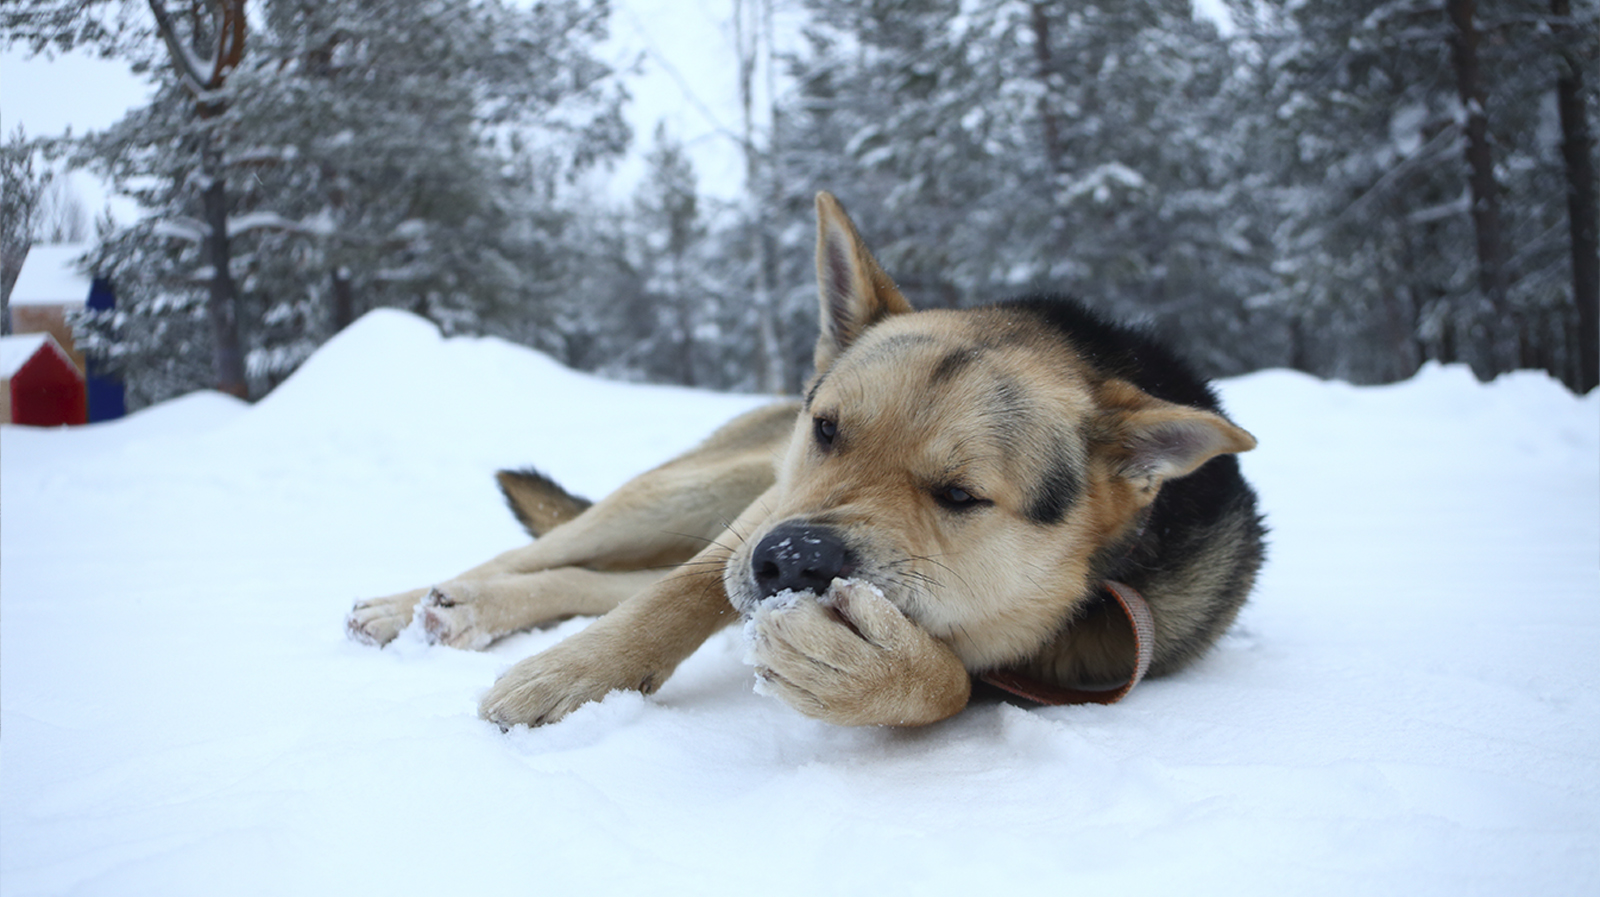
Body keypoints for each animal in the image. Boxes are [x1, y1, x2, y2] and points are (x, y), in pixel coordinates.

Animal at [347, 190, 1260, 729]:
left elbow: (952, 683)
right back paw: (418, 605)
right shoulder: (763, 510)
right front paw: (571, 674)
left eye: (959, 494)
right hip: (698, 489)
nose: (791, 558)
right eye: (827, 429)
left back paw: (462, 612)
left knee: (593, 577)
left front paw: (873, 676)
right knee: (560, 555)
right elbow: (677, 595)